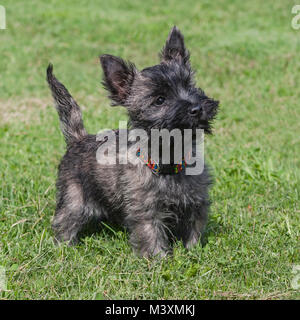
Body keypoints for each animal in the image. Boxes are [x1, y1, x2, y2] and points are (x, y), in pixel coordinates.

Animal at [48, 27, 219, 258]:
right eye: (159, 100)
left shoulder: (195, 204)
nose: (196, 108)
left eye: (190, 86)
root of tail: (79, 138)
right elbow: (151, 236)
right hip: (74, 198)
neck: (169, 159)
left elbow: (194, 230)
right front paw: (159, 260)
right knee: (64, 221)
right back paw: (64, 248)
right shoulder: (146, 211)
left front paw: (194, 253)